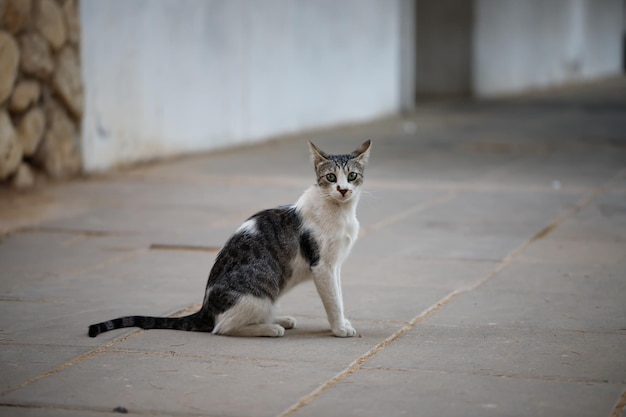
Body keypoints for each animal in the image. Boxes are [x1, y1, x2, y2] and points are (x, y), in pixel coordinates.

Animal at [88, 141, 370, 338]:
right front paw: (339, 328)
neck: (340, 212)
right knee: (222, 327)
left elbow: (338, 295)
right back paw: (269, 329)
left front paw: (342, 322)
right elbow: (332, 299)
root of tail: (206, 307)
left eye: (352, 176)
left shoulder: (334, 265)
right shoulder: (321, 265)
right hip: (261, 288)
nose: (343, 190)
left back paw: (276, 320)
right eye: (331, 177)